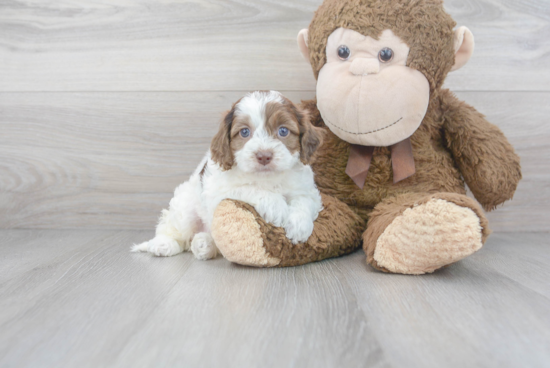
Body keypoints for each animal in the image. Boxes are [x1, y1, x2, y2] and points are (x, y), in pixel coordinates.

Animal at [132, 90, 326, 260]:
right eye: (244, 132)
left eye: (283, 131)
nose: (264, 156)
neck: (267, 177)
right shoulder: (219, 190)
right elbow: (249, 188)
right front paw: (276, 206)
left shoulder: (307, 189)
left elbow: (304, 201)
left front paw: (299, 225)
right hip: (185, 207)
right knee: (173, 229)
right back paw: (163, 244)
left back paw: (203, 245)